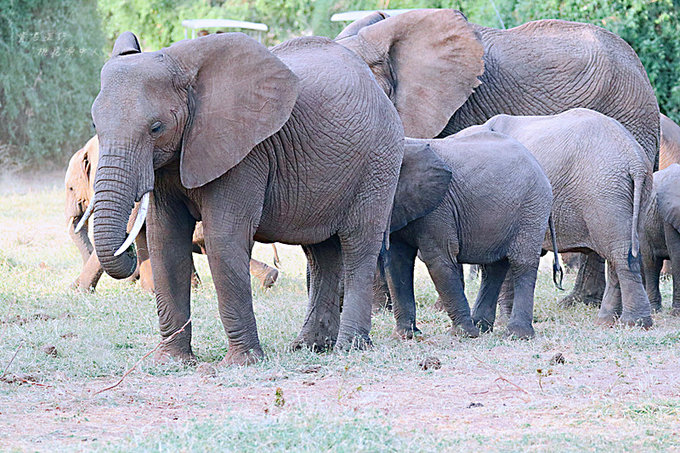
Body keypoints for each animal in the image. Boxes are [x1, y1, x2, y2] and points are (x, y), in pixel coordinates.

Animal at [89, 24, 468, 364]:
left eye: (156, 128)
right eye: (95, 126)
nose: (128, 258)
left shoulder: (247, 153)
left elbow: (224, 239)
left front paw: (242, 363)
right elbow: (165, 241)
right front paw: (171, 362)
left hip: (379, 159)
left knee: (358, 244)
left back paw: (349, 348)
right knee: (322, 253)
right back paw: (310, 347)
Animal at [386, 128, 560, 340]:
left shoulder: (440, 207)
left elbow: (439, 260)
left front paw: (464, 334)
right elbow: (397, 263)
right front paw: (405, 335)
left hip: (532, 207)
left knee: (521, 262)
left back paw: (516, 335)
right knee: (494, 268)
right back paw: (483, 327)